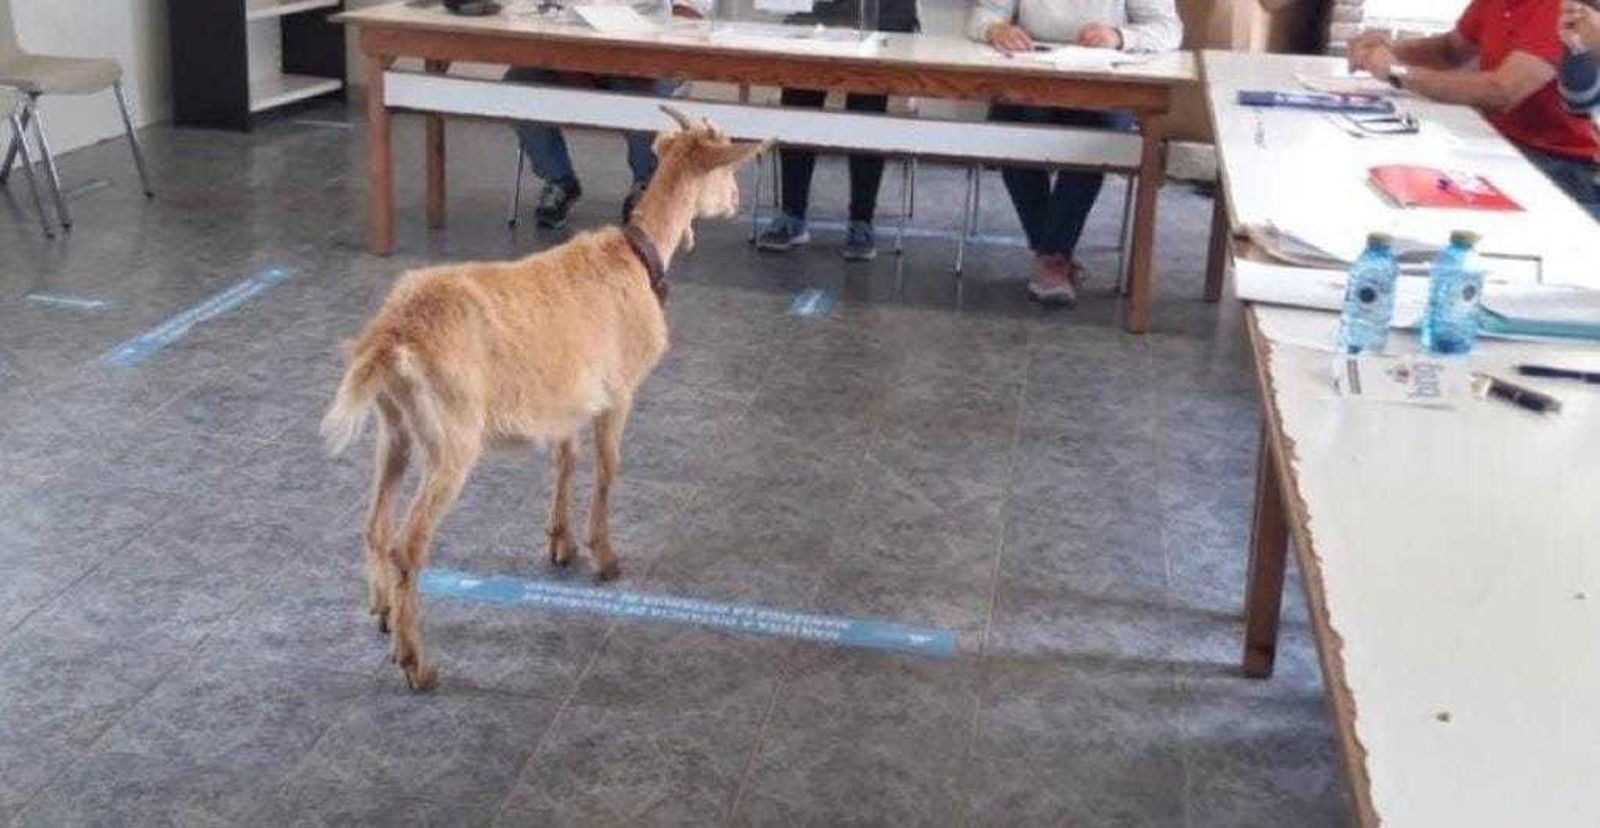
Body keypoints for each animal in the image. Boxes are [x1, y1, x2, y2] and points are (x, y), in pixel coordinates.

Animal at [321, 107, 769, 690]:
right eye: (726, 163)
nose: (736, 201)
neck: (634, 255)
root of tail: (392, 336)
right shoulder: (618, 392)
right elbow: (607, 467)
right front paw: (604, 556)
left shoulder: (569, 399)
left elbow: (566, 458)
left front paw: (560, 542)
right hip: (451, 442)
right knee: (407, 546)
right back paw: (415, 661)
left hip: (395, 429)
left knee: (375, 524)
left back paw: (382, 613)